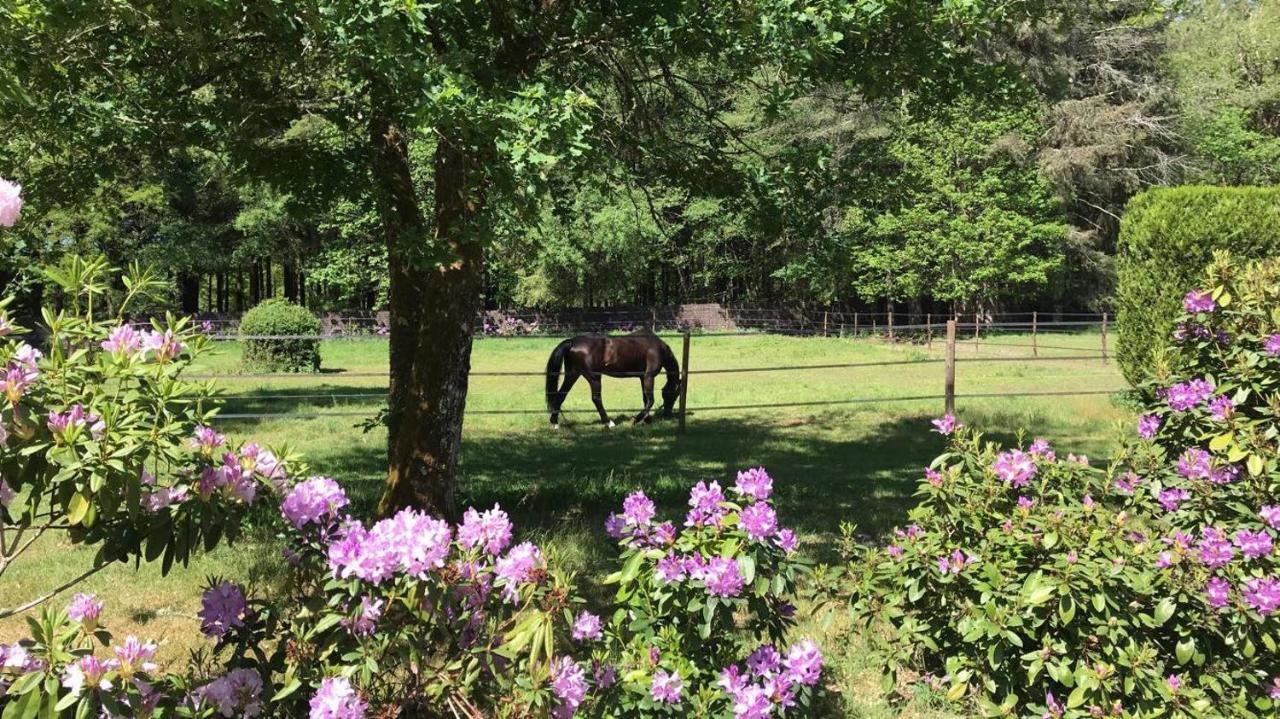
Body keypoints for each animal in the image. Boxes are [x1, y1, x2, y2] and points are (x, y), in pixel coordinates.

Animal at [540, 330, 680, 424]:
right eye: (675, 394)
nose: (667, 414)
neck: (655, 346)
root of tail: (573, 342)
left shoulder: (642, 377)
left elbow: (645, 399)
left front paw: (647, 419)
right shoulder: (649, 376)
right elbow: (650, 400)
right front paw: (637, 419)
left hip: (572, 374)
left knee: (561, 394)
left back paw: (554, 422)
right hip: (594, 377)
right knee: (596, 399)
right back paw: (608, 422)